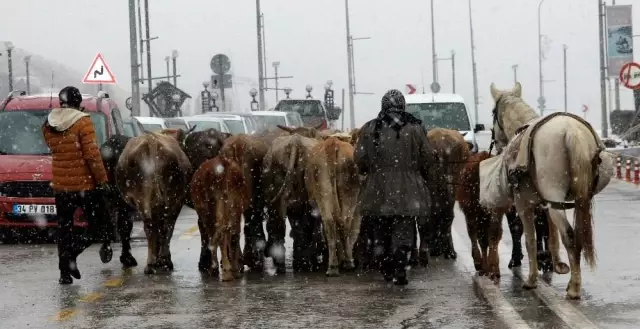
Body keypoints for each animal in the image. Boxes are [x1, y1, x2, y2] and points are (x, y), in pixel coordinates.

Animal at [115, 132, 191, 272]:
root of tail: (152, 141)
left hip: (142, 197)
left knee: (150, 226)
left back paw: (150, 264)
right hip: (174, 198)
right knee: (167, 226)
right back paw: (166, 262)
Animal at [304, 136, 360, 274]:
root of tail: (333, 141)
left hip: (324, 192)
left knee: (331, 223)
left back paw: (334, 266)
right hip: (349, 194)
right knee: (344, 223)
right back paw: (346, 262)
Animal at [488, 81, 612, 298]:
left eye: (493, 112)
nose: (496, 145)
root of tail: (572, 131)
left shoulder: (524, 204)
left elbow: (530, 238)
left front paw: (531, 279)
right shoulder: (546, 202)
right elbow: (548, 230)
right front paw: (555, 263)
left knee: (569, 235)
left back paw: (574, 288)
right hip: (577, 199)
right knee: (577, 235)